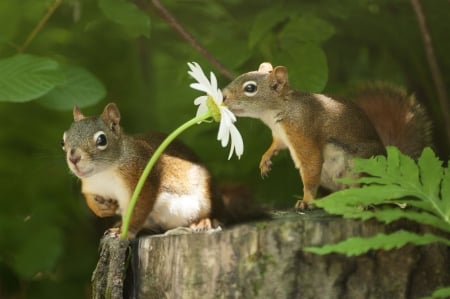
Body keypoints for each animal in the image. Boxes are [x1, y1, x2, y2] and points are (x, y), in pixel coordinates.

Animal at [60, 103, 264, 239]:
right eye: (63, 140)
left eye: (102, 140)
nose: (73, 158)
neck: (104, 173)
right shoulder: (90, 186)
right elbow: (91, 200)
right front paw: (103, 209)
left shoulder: (141, 179)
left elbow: (139, 207)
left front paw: (126, 231)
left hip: (207, 198)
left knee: (217, 215)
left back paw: (204, 222)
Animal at [222, 62, 432, 210]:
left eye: (250, 88)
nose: (222, 96)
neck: (278, 110)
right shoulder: (280, 135)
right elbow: (277, 145)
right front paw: (266, 159)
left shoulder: (304, 130)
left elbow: (311, 165)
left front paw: (306, 201)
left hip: (362, 167)